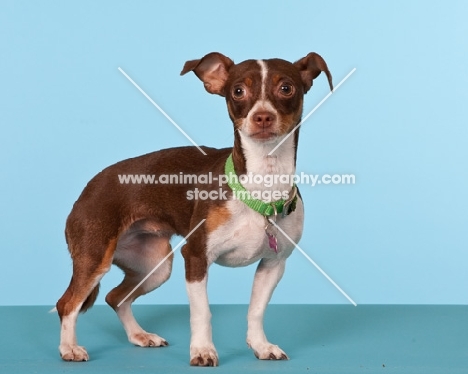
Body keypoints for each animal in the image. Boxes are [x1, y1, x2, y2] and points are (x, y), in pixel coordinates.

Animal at [55, 51, 332, 366]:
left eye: (286, 88)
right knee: (68, 303)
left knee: (116, 297)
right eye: (238, 91)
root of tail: (89, 187)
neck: (263, 183)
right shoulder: (197, 258)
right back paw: (69, 348)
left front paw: (260, 345)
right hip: (95, 259)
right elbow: (202, 312)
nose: (262, 116)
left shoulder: (273, 264)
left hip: (154, 265)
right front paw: (202, 350)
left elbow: (256, 310)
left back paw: (140, 336)